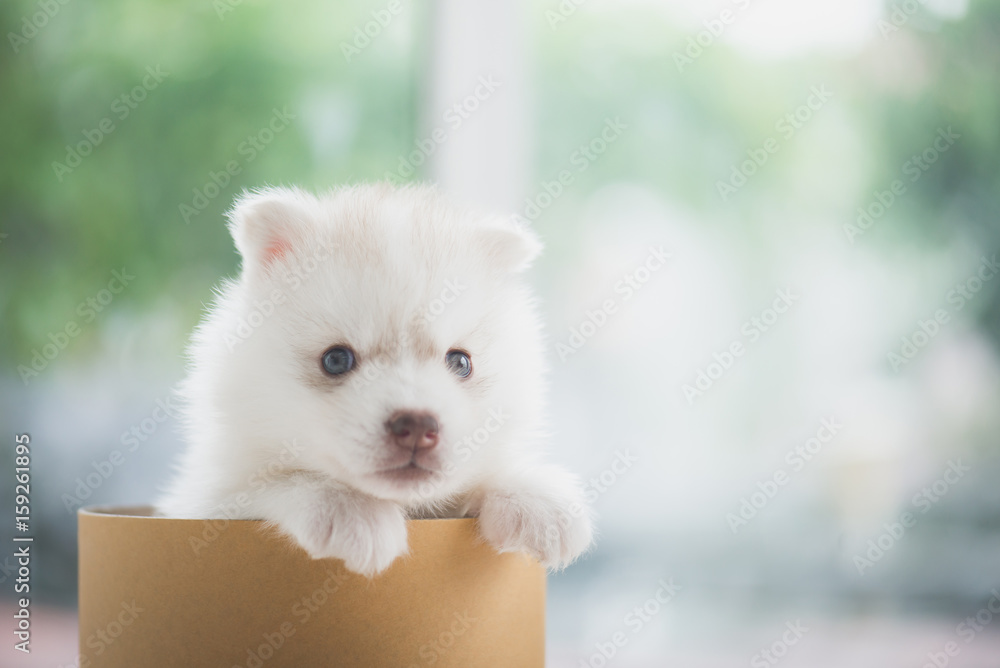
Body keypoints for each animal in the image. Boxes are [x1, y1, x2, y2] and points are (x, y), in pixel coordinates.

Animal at [158, 181, 592, 576]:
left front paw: (535, 498)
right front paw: (350, 509)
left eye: (460, 362)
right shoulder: (206, 500)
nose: (417, 426)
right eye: (336, 359)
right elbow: (281, 481)